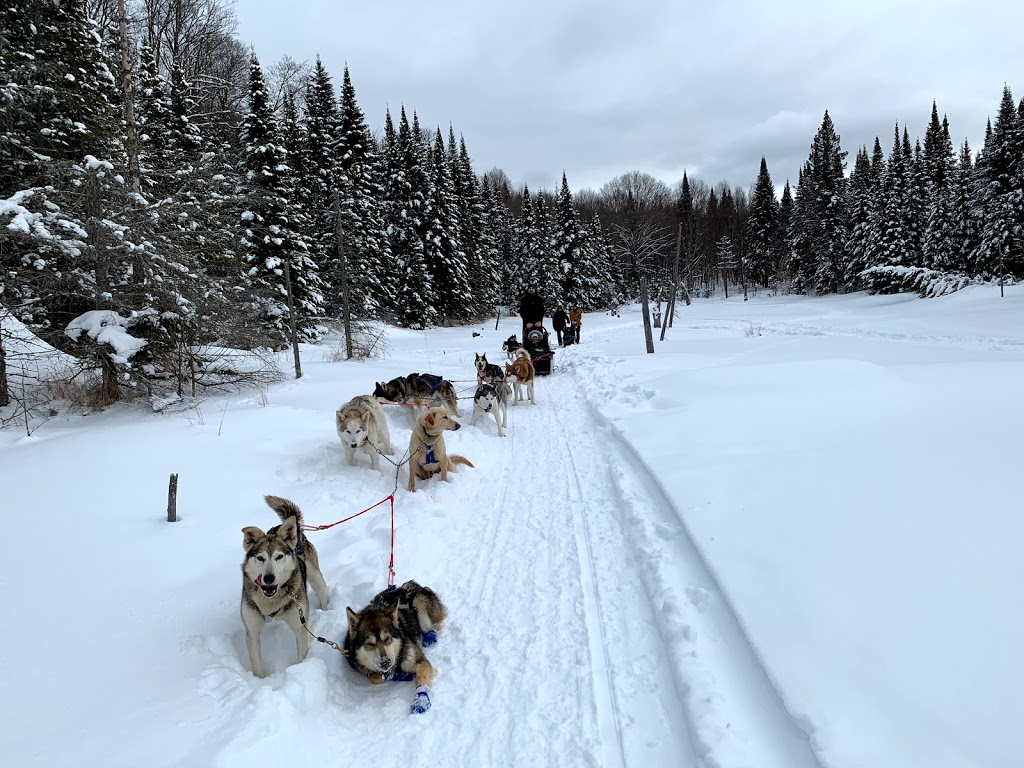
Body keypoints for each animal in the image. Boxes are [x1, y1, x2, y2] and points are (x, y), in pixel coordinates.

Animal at [240, 495, 329, 675]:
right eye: (260, 558)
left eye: (279, 556)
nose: (268, 578)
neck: (270, 603)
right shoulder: (252, 631)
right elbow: (257, 666)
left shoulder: (301, 628)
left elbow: (302, 656)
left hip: (315, 577)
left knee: (323, 591)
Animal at [344, 581, 448, 716]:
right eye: (370, 644)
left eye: (387, 638)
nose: (385, 662)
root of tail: (411, 584)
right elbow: (376, 677)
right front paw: (400, 675)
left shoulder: (420, 660)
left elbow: (421, 678)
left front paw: (420, 700)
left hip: (420, 601)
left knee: (431, 625)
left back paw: (429, 637)